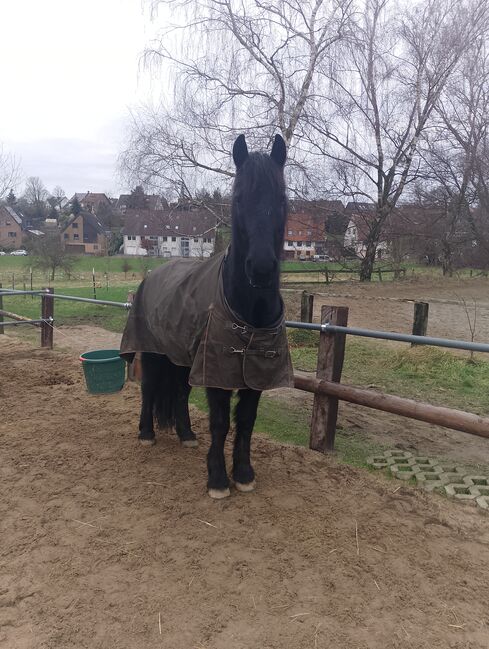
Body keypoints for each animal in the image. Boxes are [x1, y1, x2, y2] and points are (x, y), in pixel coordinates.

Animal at [120, 134, 288, 498]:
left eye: (282, 198)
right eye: (238, 199)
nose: (262, 268)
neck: (248, 311)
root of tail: (155, 273)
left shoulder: (254, 373)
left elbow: (246, 421)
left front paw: (243, 474)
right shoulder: (217, 372)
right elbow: (220, 422)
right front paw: (218, 479)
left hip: (182, 357)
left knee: (180, 393)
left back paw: (185, 435)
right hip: (153, 353)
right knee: (149, 388)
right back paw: (146, 434)